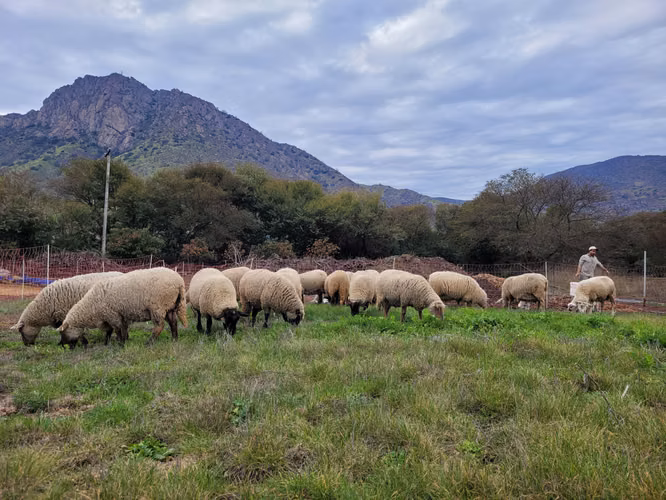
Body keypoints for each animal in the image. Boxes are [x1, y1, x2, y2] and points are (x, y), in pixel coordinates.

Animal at [58, 267, 187, 348]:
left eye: (62, 332)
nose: (63, 346)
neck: (91, 307)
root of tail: (179, 282)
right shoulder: (121, 315)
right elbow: (123, 329)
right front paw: (123, 341)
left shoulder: (112, 315)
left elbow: (117, 329)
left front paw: (120, 343)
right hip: (170, 306)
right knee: (173, 323)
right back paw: (174, 339)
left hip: (158, 307)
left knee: (160, 326)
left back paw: (149, 342)